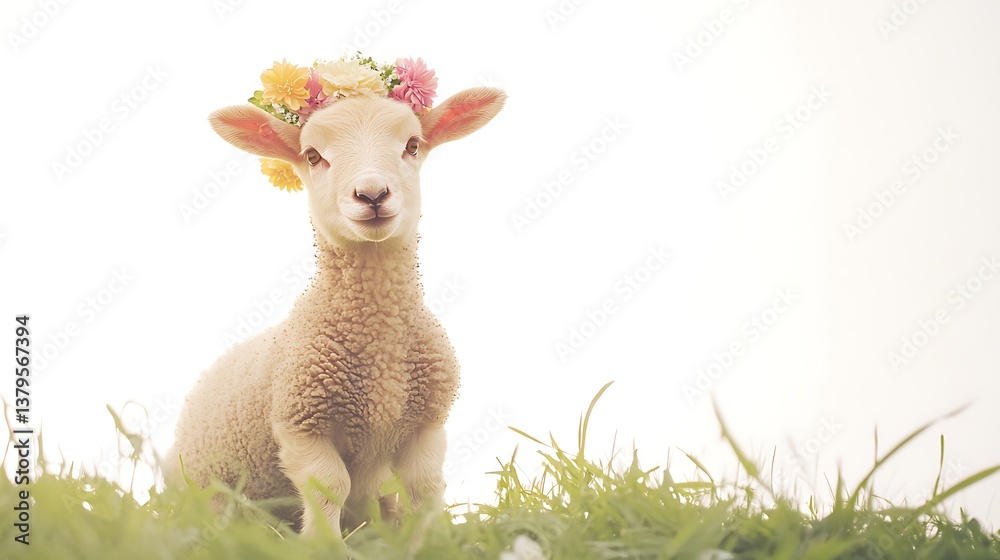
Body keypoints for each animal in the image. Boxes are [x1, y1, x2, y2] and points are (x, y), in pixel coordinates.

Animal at [169, 64, 506, 536]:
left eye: (412, 145)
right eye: (313, 156)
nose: (372, 195)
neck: (381, 348)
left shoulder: (427, 421)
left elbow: (424, 485)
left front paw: (433, 540)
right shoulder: (299, 422)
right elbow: (329, 486)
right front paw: (325, 544)